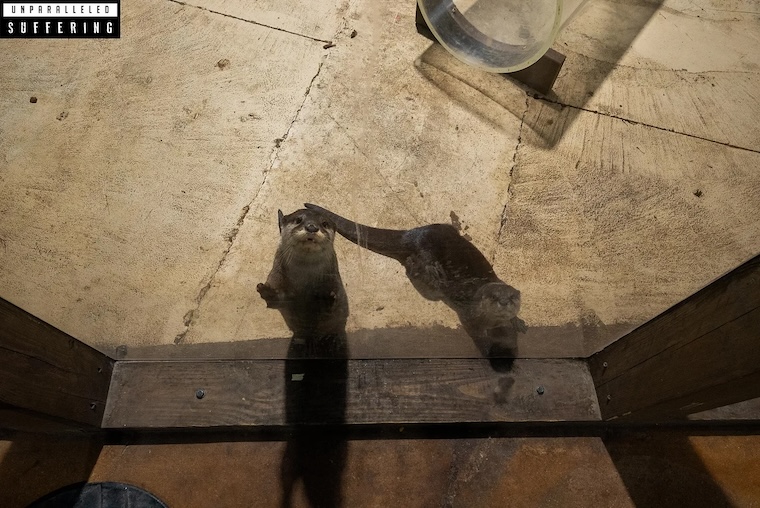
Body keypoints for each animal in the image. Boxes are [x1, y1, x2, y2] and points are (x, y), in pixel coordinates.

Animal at [257, 208, 349, 342]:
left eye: (324, 223)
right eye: (298, 220)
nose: (312, 227)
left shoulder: (334, 281)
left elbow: (333, 309)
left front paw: (326, 298)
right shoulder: (276, 277)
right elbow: (277, 301)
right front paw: (267, 291)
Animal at [303, 203, 526, 343]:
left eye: (512, 298)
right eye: (493, 298)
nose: (504, 302)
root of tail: (412, 234)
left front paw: (517, 321)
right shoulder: (471, 311)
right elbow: (478, 330)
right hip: (425, 261)